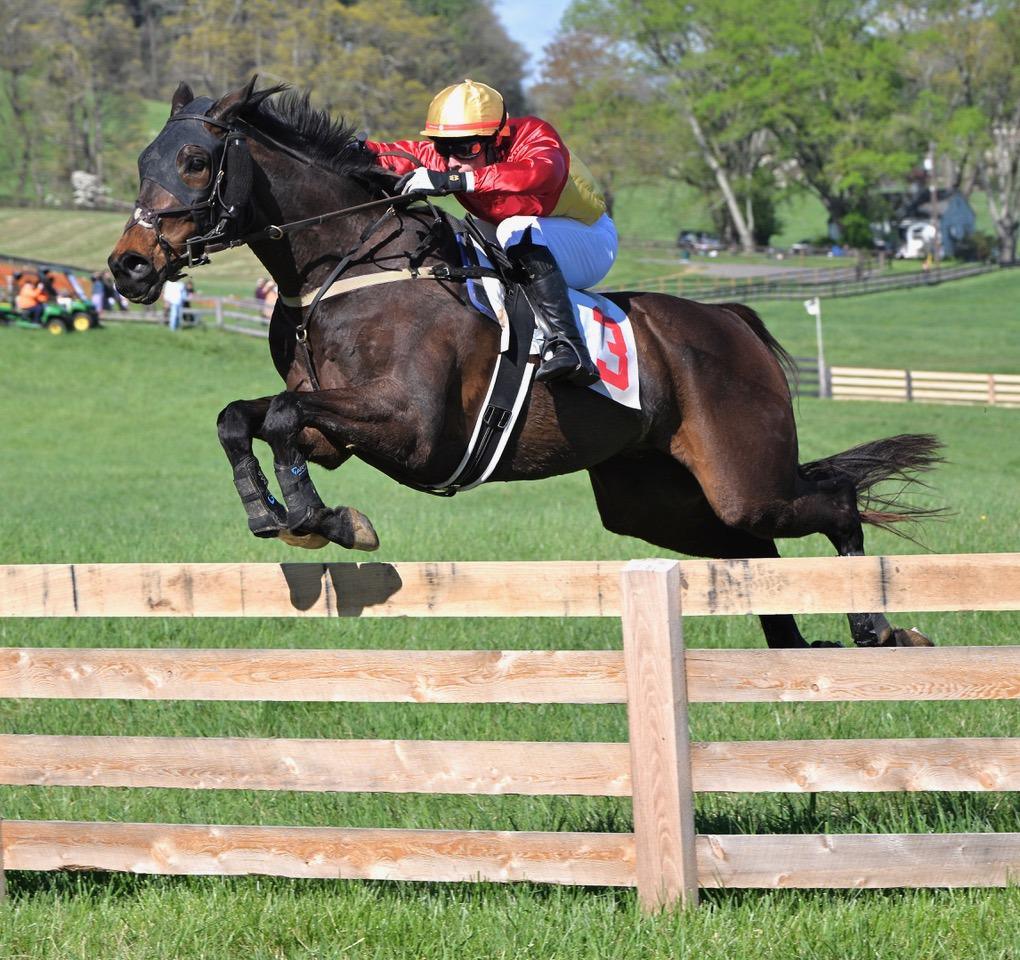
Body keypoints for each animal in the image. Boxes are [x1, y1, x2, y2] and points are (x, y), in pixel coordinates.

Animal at [107, 80, 942, 652]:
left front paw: (320, 518)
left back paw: (877, 627)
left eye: (193, 160)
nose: (129, 267)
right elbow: (245, 419)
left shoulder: (412, 429)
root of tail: (730, 321)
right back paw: (799, 641)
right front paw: (277, 511)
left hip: (746, 480)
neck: (351, 267)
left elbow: (281, 417)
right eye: (143, 159)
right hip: (656, 501)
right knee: (754, 554)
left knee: (835, 503)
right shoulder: (337, 430)